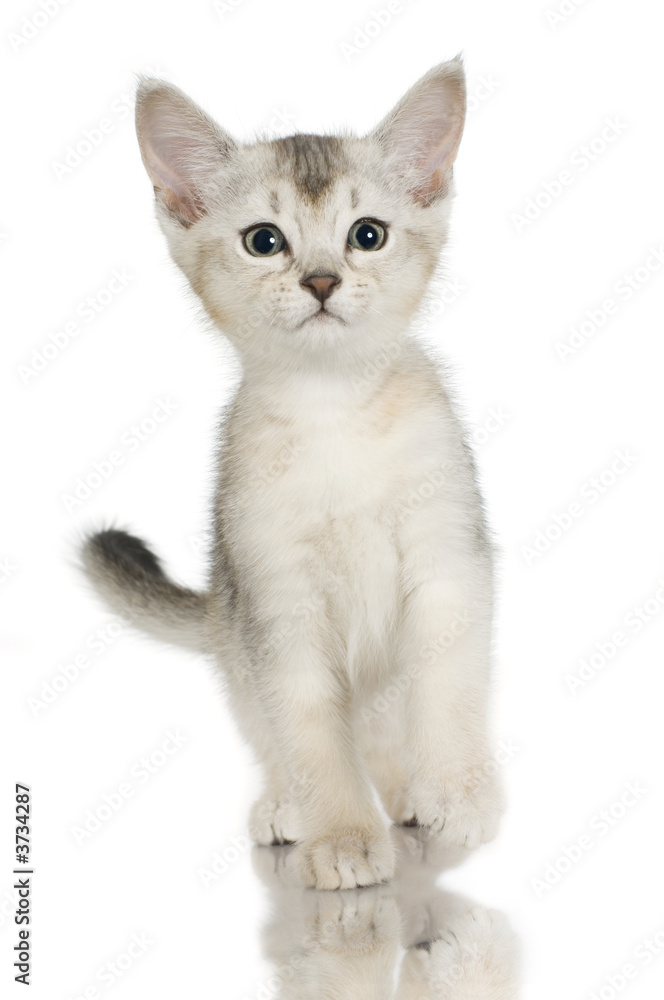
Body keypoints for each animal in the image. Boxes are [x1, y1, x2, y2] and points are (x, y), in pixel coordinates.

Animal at [85, 56, 506, 892]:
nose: (320, 281)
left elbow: (448, 687)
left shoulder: (450, 561)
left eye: (367, 235)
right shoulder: (278, 605)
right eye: (264, 241)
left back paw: (412, 795)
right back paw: (291, 807)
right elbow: (312, 735)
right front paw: (340, 837)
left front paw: (460, 792)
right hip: (235, 639)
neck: (334, 410)